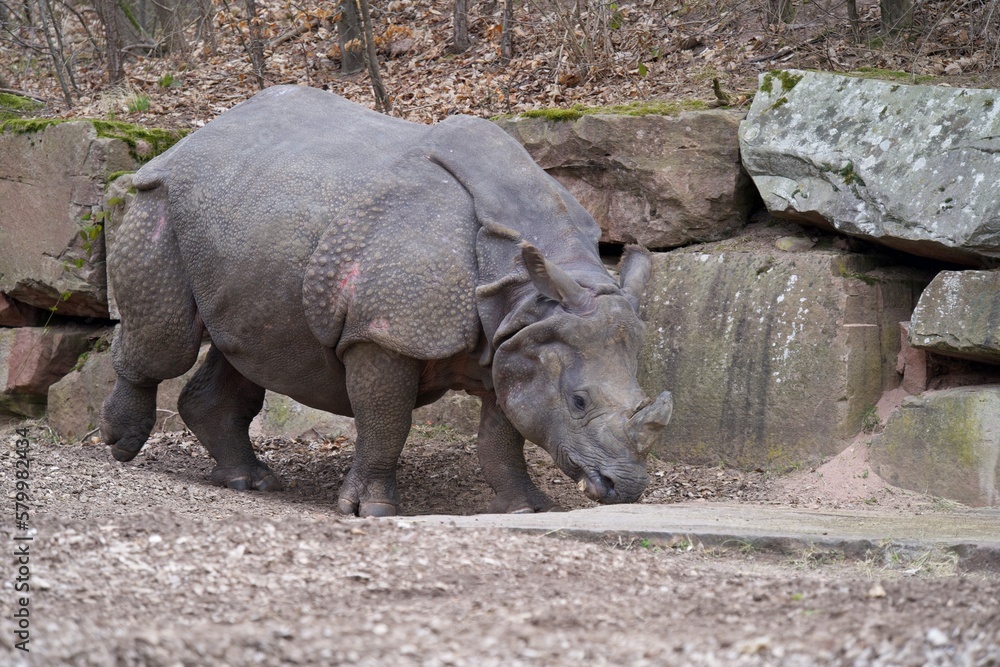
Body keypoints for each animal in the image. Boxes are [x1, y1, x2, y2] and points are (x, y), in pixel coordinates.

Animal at [100, 85, 673, 516]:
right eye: (578, 402)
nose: (625, 488)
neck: (524, 288)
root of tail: (186, 139)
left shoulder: (515, 338)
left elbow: (504, 433)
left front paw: (527, 509)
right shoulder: (385, 331)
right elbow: (387, 421)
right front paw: (372, 510)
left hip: (251, 216)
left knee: (248, 348)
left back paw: (251, 482)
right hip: (160, 202)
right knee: (168, 342)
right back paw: (120, 445)